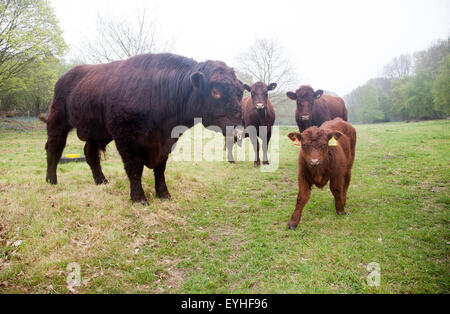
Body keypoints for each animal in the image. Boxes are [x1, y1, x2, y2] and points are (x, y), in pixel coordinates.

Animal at [41, 52, 244, 205]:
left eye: (240, 93)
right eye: (215, 91)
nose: (238, 129)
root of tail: (67, 75)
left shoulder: (165, 142)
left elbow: (160, 169)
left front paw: (164, 194)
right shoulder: (126, 139)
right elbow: (134, 168)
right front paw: (139, 198)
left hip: (96, 132)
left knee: (90, 153)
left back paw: (101, 181)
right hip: (58, 121)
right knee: (54, 148)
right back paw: (51, 181)